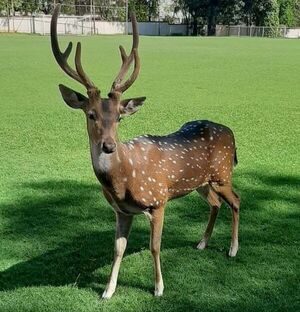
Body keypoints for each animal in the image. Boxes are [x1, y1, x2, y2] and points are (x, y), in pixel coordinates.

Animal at [50, 3, 240, 300]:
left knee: (236, 201)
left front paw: (159, 287)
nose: (108, 145)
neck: (123, 180)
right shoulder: (122, 211)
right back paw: (201, 243)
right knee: (216, 203)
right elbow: (117, 248)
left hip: (222, 174)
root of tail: (231, 133)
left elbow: (154, 246)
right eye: (91, 114)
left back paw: (232, 249)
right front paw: (108, 290)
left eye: (119, 117)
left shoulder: (158, 200)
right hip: (200, 183)